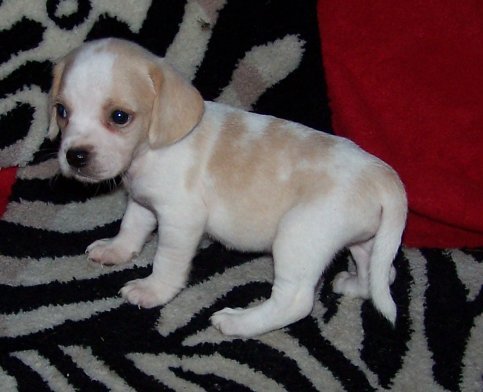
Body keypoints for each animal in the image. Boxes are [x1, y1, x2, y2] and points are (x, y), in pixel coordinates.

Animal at [47, 37, 408, 336]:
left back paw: (238, 322)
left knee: (295, 302)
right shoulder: (142, 202)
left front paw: (152, 290)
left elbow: (166, 260)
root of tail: (384, 176)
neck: (152, 148)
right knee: (382, 273)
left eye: (119, 117)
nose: (75, 156)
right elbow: (131, 228)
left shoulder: (180, 221)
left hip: (297, 240)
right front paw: (116, 249)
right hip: (365, 242)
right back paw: (354, 285)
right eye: (62, 111)